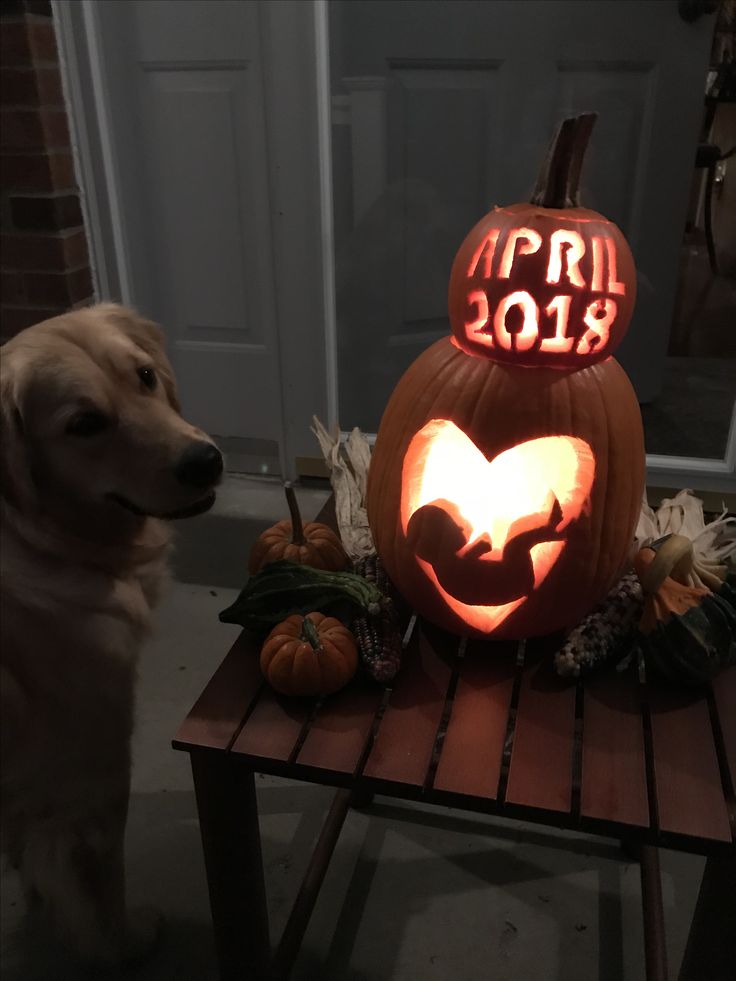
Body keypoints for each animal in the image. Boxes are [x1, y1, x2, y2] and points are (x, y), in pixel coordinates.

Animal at [0, 302, 224, 960]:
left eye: (144, 376)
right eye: (84, 424)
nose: (206, 460)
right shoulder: (89, 775)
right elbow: (103, 880)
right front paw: (119, 944)